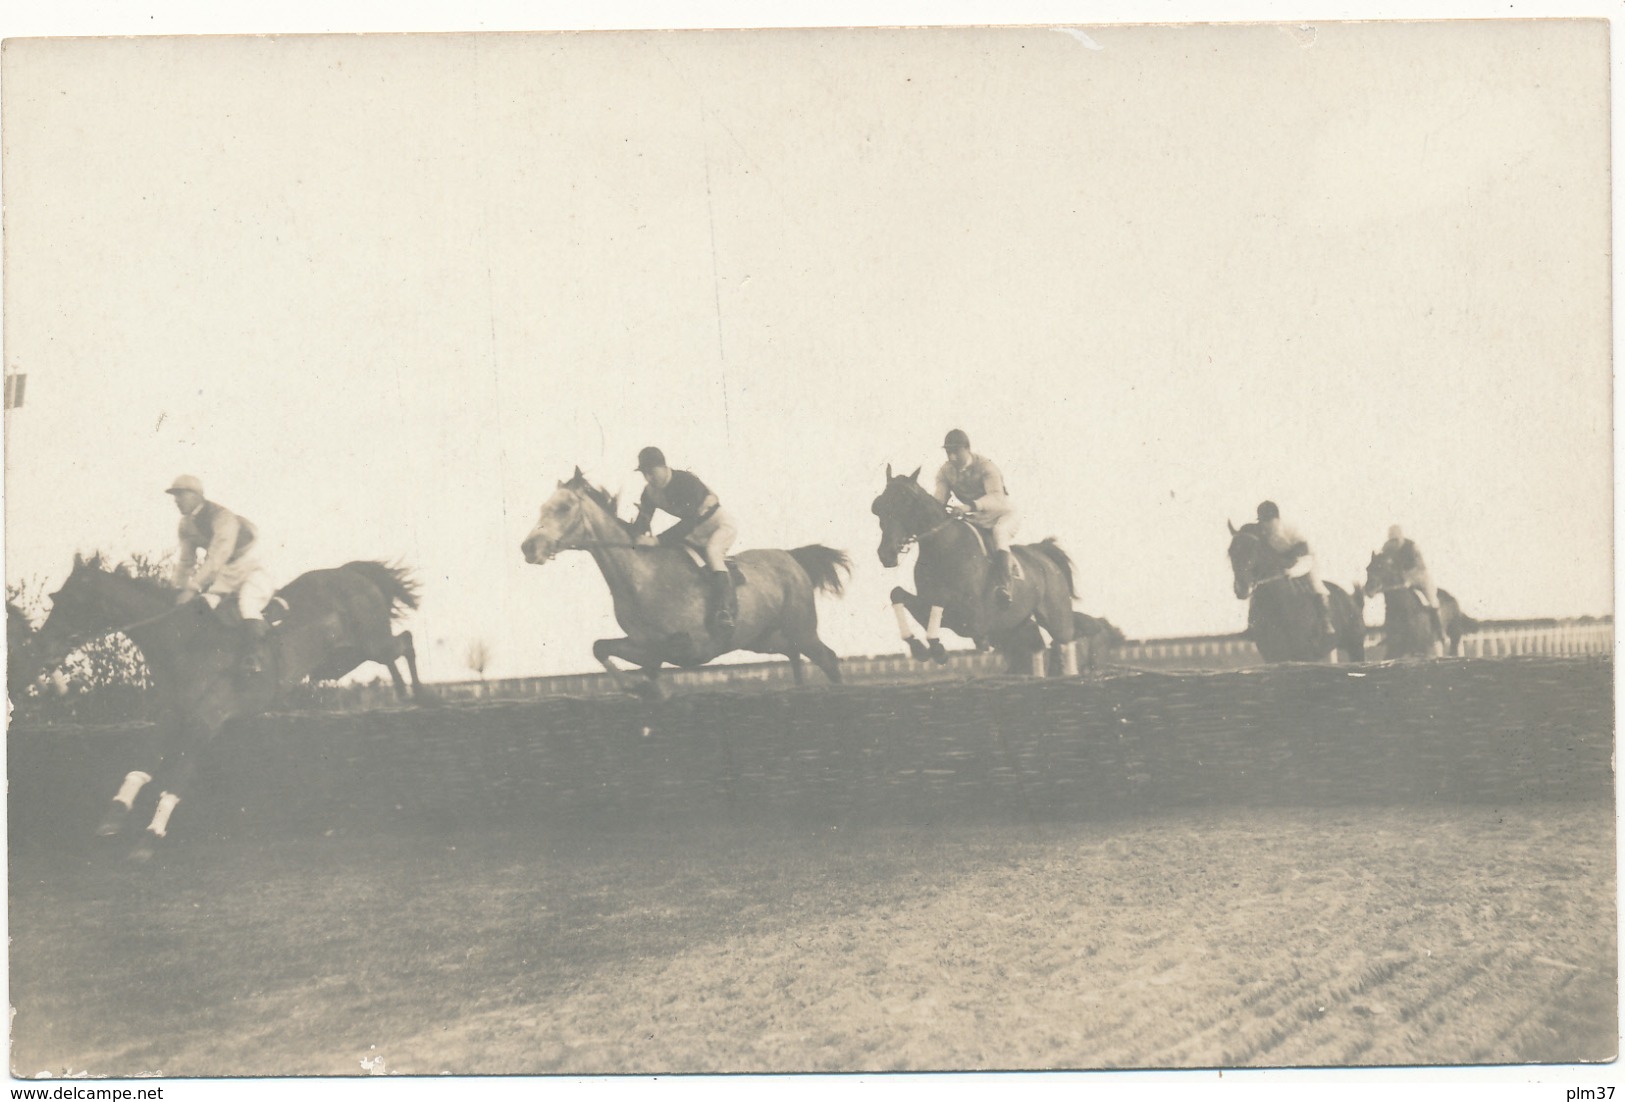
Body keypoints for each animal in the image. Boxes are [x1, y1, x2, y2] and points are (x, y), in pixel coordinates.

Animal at [19, 555, 425, 858]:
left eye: (74, 602)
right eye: (56, 598)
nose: (40, 648)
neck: (183, 643)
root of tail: (351, 572)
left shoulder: (206, 720)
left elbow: (177, 776)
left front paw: (150, 836)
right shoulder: (171, 714)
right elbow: (142, 764)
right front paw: (113, 816)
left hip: (369, 642)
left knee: (405, 642)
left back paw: (418, 695)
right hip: (342, 659)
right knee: (396, 650)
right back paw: (403, 692)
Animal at [520, 468, 851, 698]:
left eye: (564, 508)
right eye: (542, 508)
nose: (528, 548)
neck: (640, 578)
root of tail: (791, 557)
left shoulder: (684, 647)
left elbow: (661, 653)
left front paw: (643, 688)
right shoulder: (644, 647)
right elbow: (601, 648)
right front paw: (639, 688)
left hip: (801, 629)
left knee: (828, 658)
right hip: (764, 638)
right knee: (795, 655)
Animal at [871, 464, 1085, 679]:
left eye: (907, 501)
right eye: (879, 507)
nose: (886, 554)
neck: (942, 548)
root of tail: (1043, 554)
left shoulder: (972, 617)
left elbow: (941, 600)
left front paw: (938, 650)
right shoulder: (930, 605)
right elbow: (897, 593)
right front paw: (919, 648)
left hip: (1057, 618)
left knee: (1066, 640)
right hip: (1013, 626)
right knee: (1035, 642)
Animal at [1222, 526, 1365, 666]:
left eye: (1256, 549)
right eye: (1231, 551)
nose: (1242, 588)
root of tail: (1352, 598)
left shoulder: (1305, 654)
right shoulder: (1272, 656)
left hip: (1355, 645)